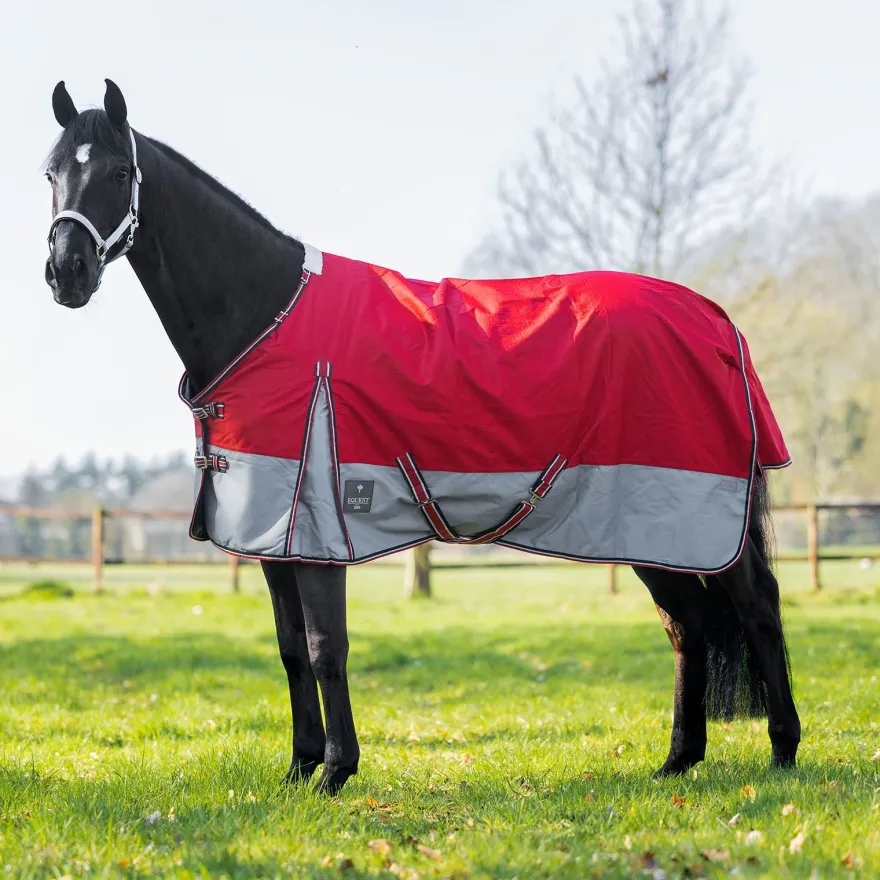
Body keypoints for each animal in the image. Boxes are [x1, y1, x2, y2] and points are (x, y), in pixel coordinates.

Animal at [42, 79, 800, 795]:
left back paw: (783, 751)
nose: (65, 273)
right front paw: (298, 768)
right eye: (49, 171)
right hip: (647, 524)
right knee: (687, 625)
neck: (262, 317)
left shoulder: (318, 531)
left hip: (693, 518)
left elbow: (325, 646)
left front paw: (335, 771)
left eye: (118, 171)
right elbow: (290, 649)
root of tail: (715, 319)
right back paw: (677, 760)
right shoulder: (274, 538)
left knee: (757, 605)